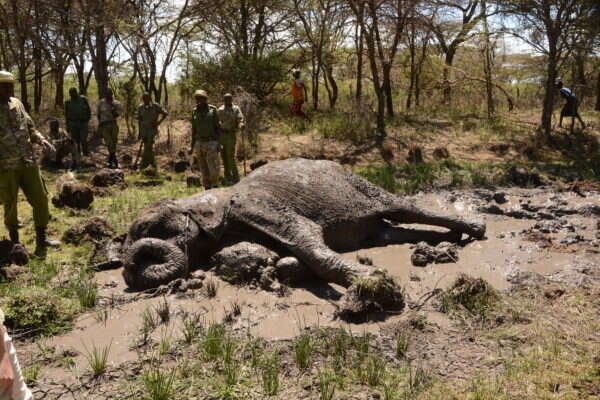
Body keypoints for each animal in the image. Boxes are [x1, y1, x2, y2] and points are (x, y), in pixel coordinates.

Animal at [119, 158, 486, 296]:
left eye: (149, 227)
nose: (130, 267)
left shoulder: (262, 207)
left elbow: (308, 240)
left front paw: (373, 281)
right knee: (391, 232)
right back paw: (451, 239)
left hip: (363, 187)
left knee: (406, 210)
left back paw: (474, 229)